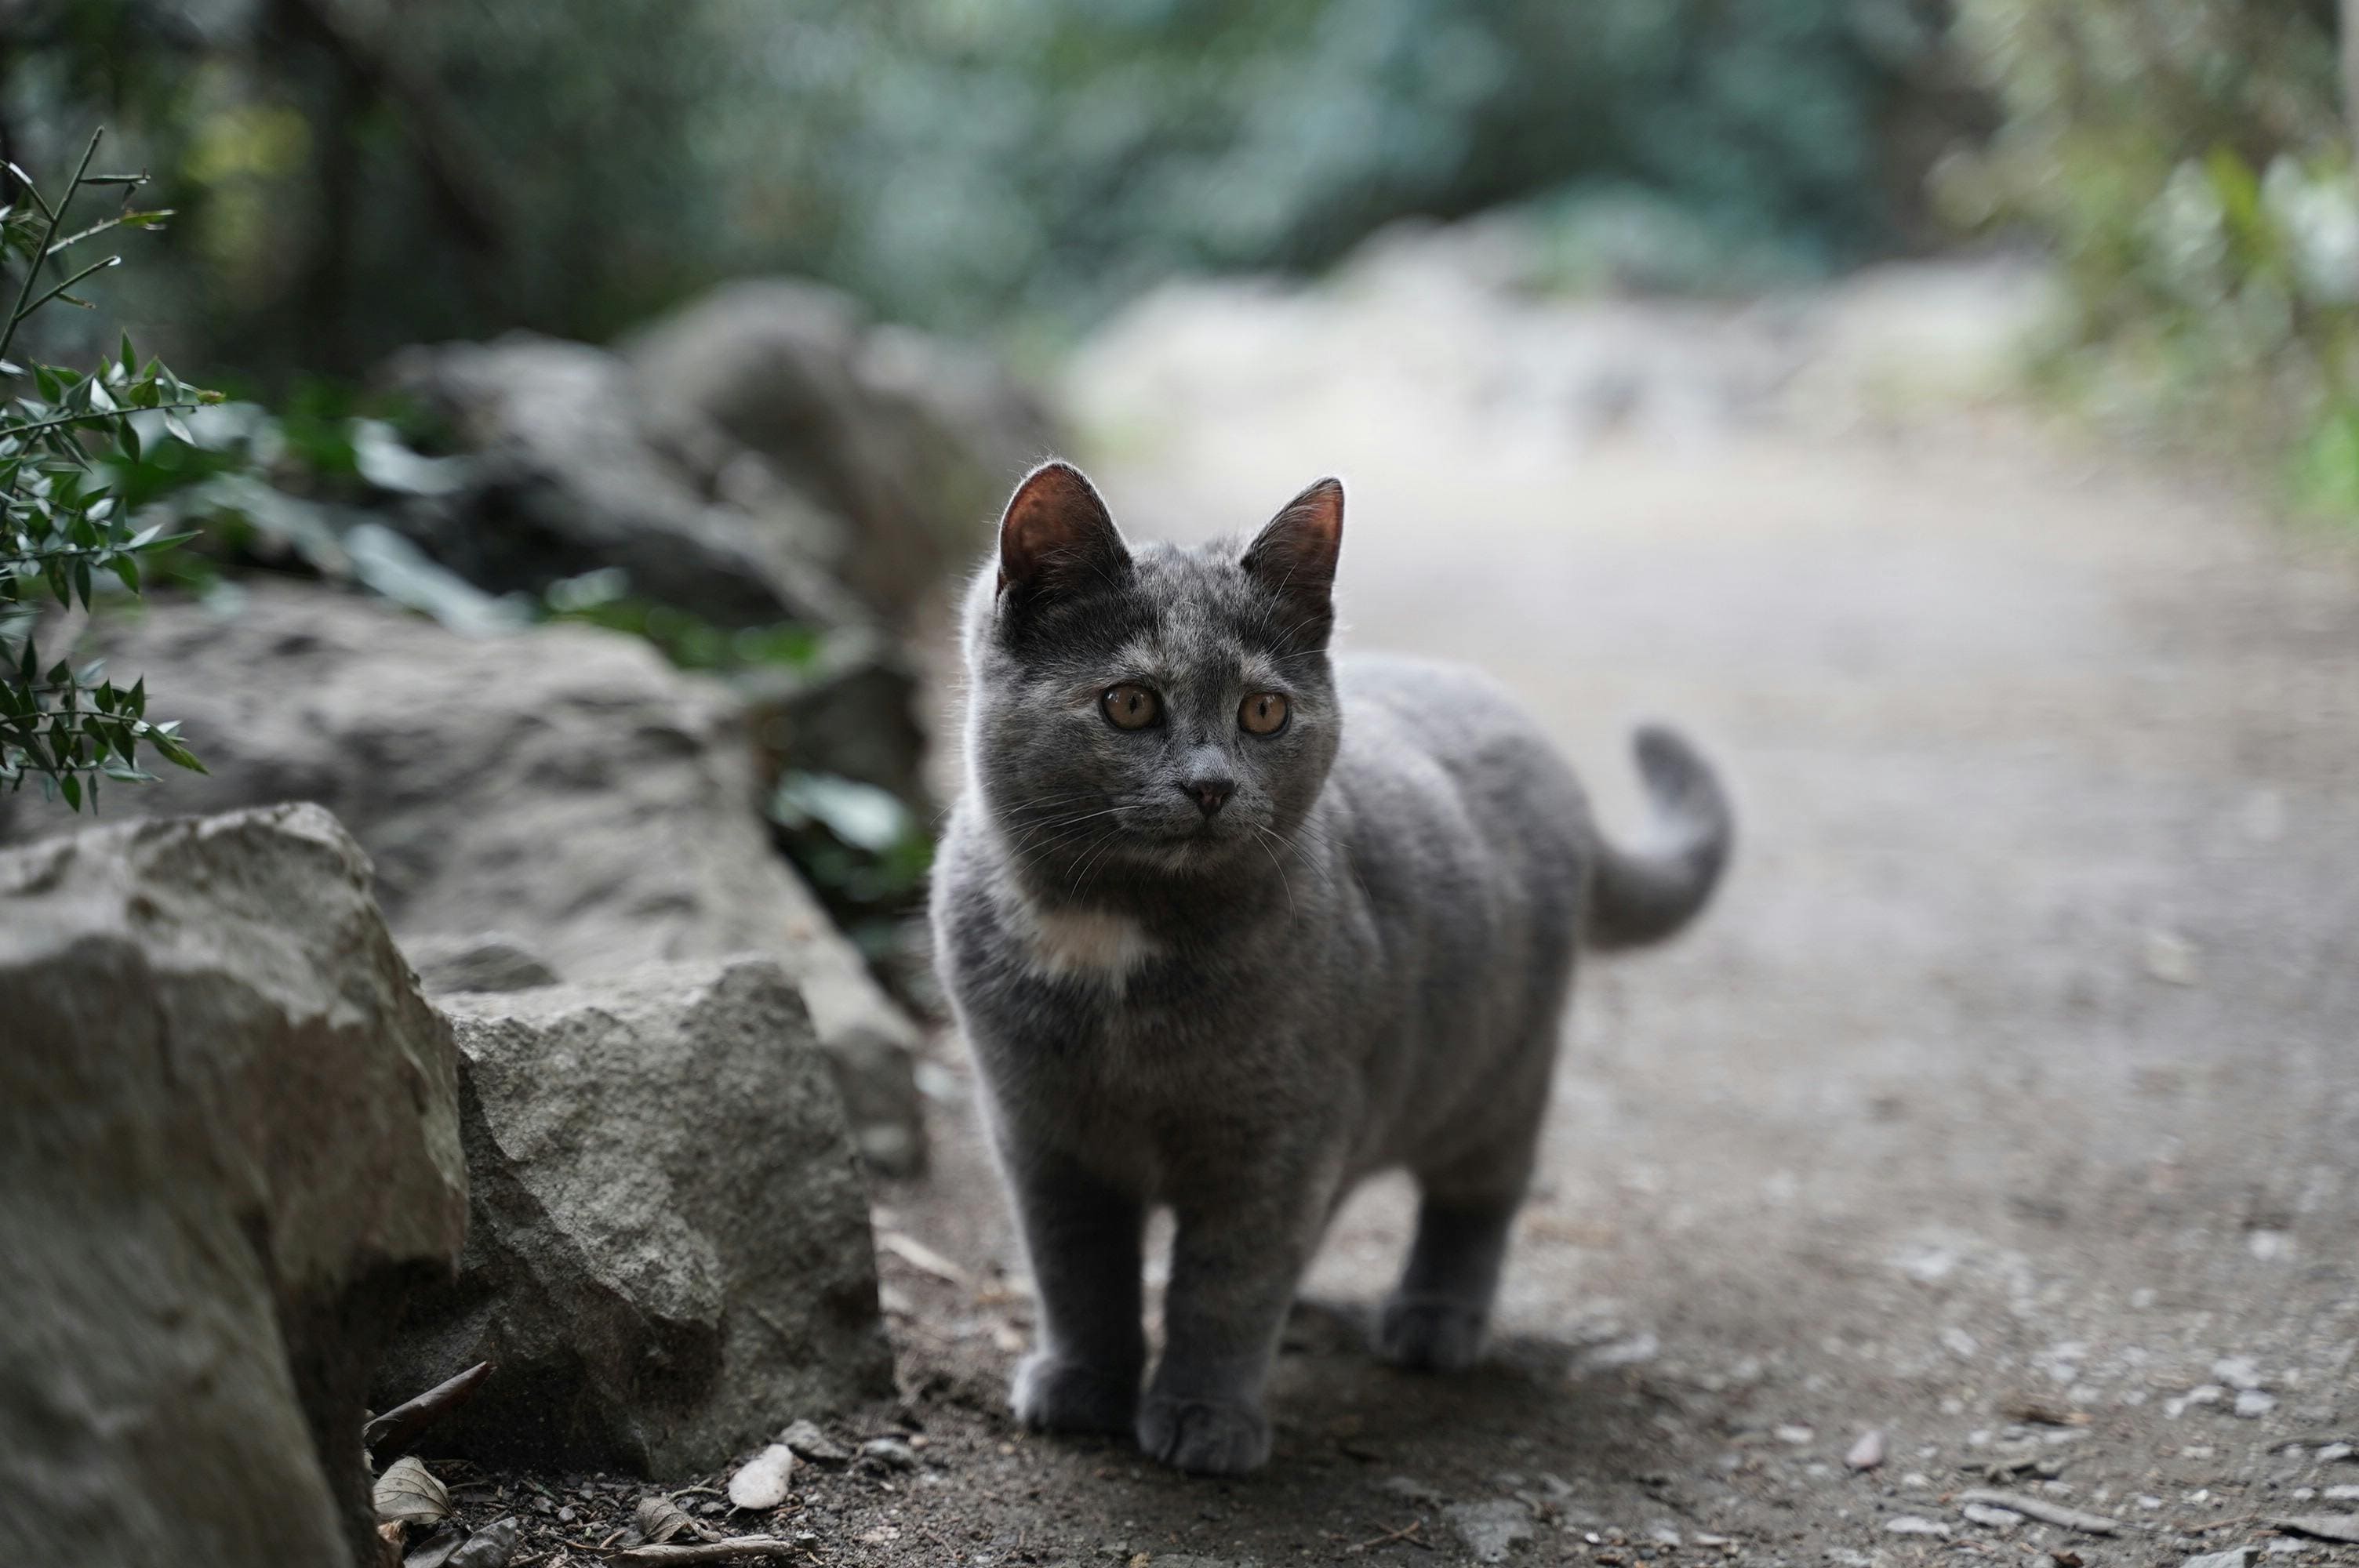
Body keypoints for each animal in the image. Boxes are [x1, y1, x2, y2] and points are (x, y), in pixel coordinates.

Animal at [929, 459, 1726, 1471]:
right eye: (1130, 702)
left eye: (1262, 711)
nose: (1209, 785)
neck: (1116, 934)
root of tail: (1515, 716)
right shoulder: (1040, 1129)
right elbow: (1076, 1267)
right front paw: (1083, 1385)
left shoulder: (1277, 1134)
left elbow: (1226, 1283)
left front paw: (1203, 1413)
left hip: (1496, 1072)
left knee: (1478, 1194)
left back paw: (1433, 1319)